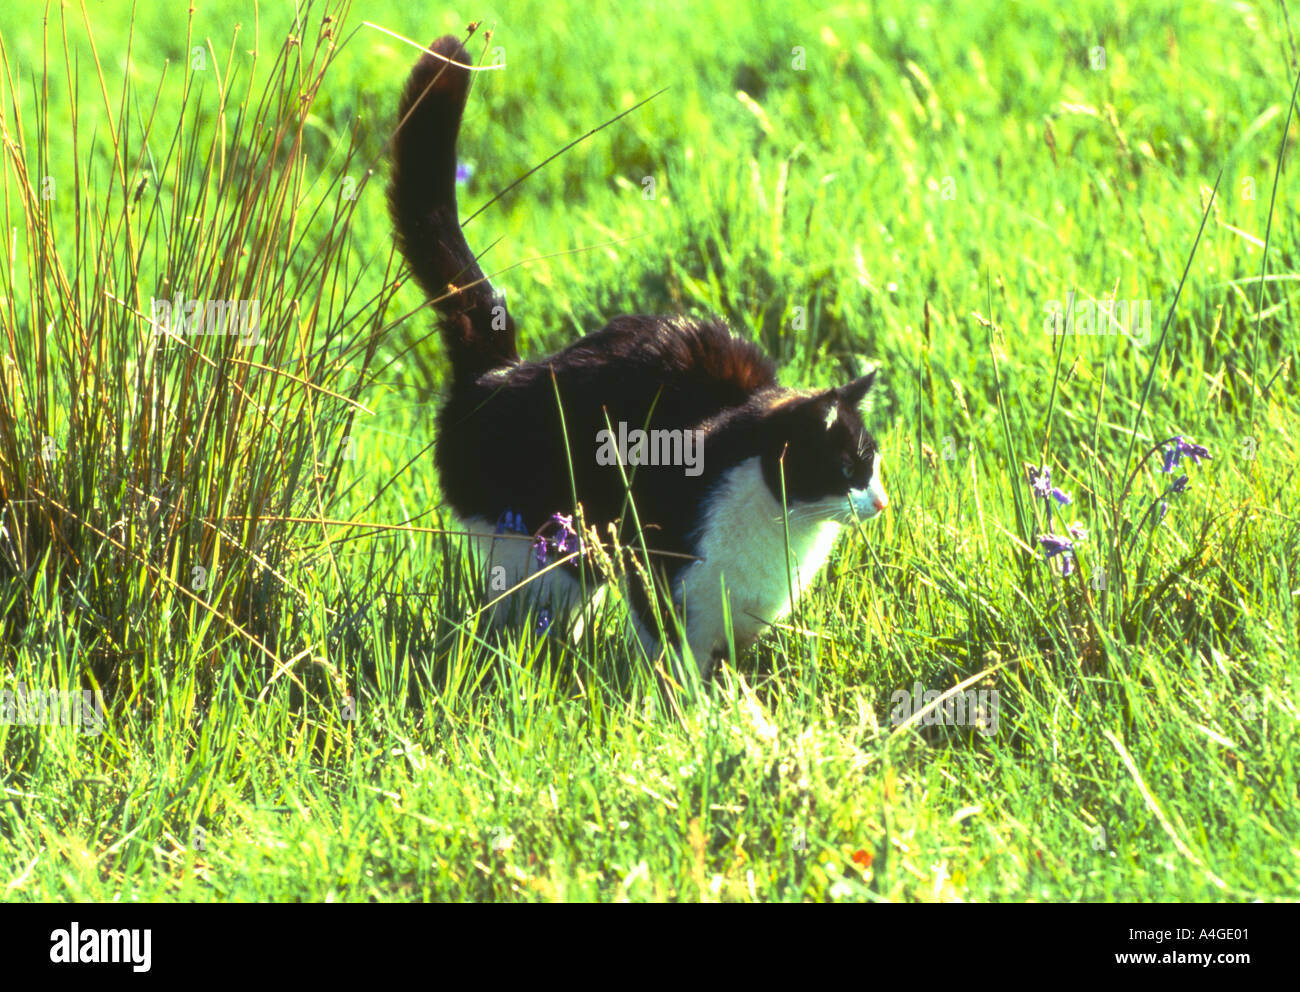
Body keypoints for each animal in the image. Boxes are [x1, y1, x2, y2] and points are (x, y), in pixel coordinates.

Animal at [390, 34, 889, 681]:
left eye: (873, 462)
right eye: (849, 466)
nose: (882, 499)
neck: (782, 526)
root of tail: (498, 373)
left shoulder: (743, 613)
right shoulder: (660, 566)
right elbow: (676, 660)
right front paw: (694, 707)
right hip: (544, 545)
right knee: (522, 617)